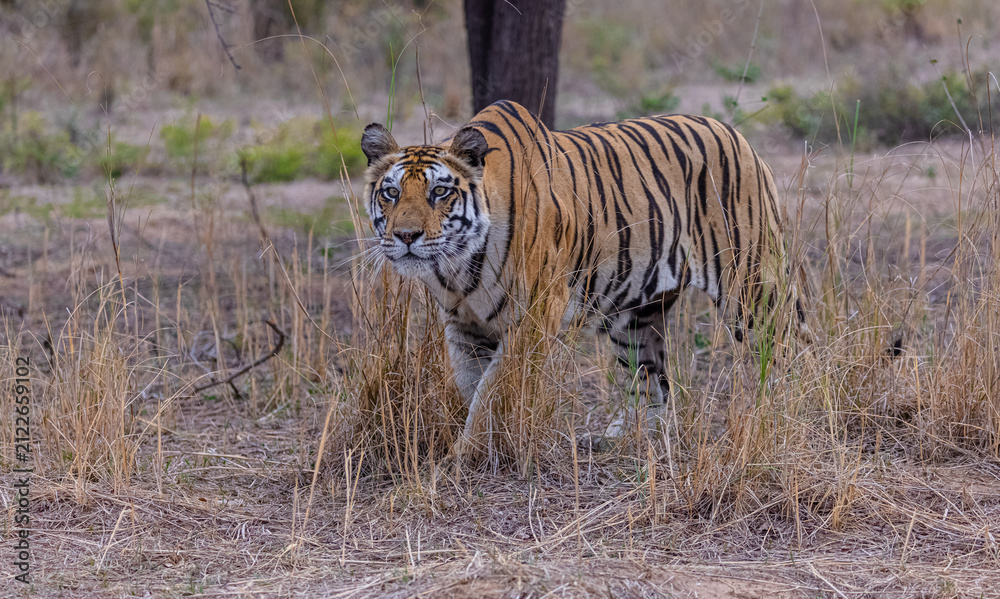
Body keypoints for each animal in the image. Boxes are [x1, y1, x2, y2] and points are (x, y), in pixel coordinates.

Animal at [360, 100, 805, 461]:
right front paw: (477, 449)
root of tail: (735, 133)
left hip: (753, 289)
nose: (405, 236)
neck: (458, 266)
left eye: (439, 192)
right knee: (652, 383)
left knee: (792, 353)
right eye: (391, 193)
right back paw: (625, 439)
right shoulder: (463, 327)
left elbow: (490, 393)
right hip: (636, 317)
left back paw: (786, 419)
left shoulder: (534, 318)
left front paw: (463, 455)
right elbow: (472, 388)